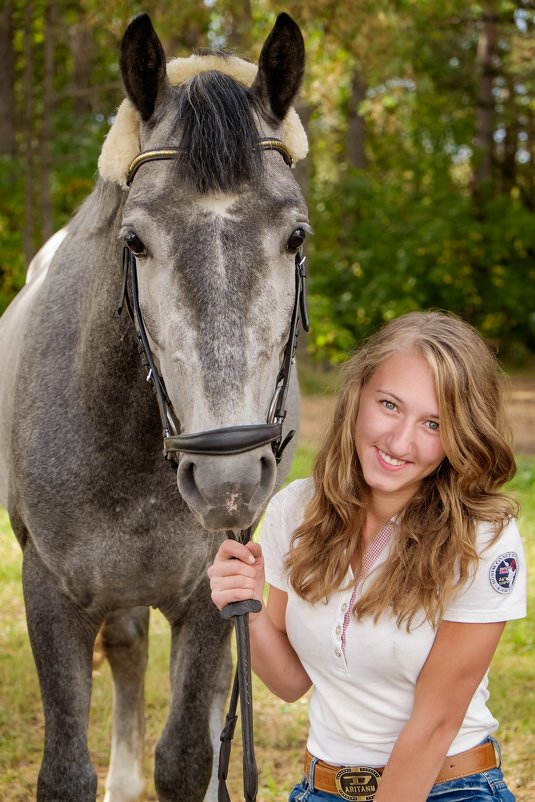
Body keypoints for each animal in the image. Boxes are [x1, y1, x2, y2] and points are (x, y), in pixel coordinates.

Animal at [0, 14, 308, 800]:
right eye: (134, 240)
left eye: (296, 235)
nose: (227, 481)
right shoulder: (50, 591)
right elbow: (65, 772)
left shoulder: (207, 593)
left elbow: (189, 756)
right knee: (129, 647)